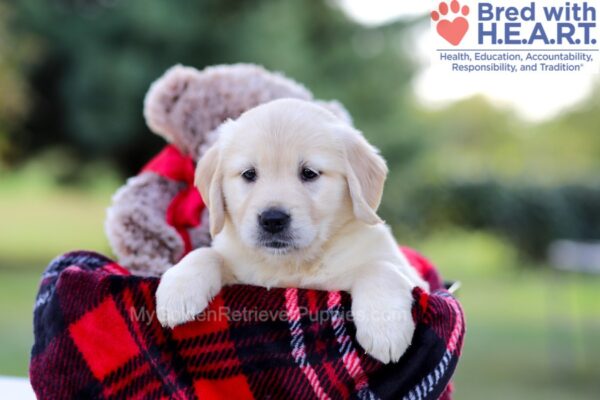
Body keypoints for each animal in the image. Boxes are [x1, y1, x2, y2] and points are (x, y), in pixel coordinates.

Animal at [157, 98, 428, 364]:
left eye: (309, 173)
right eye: (249, 174)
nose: (272, 220)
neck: (293, 263)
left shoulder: (408, 274)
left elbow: (380, 268)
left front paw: (385, 328)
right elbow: (206, 253)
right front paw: (177, 291)